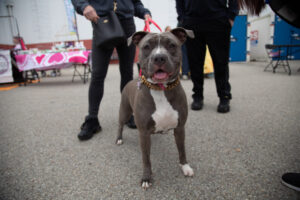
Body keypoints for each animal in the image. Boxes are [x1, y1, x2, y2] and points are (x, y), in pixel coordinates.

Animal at [115, 27, 195, 189]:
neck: (161, 89)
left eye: (172, 45)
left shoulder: (180, 128)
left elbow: (182, 150)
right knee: (120, 124)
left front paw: (185, 166)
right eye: (146, 47)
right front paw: (146, 177)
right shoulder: (144, 133)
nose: (159, 58)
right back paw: (119, 139)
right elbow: (146, 158)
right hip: (124, 111)